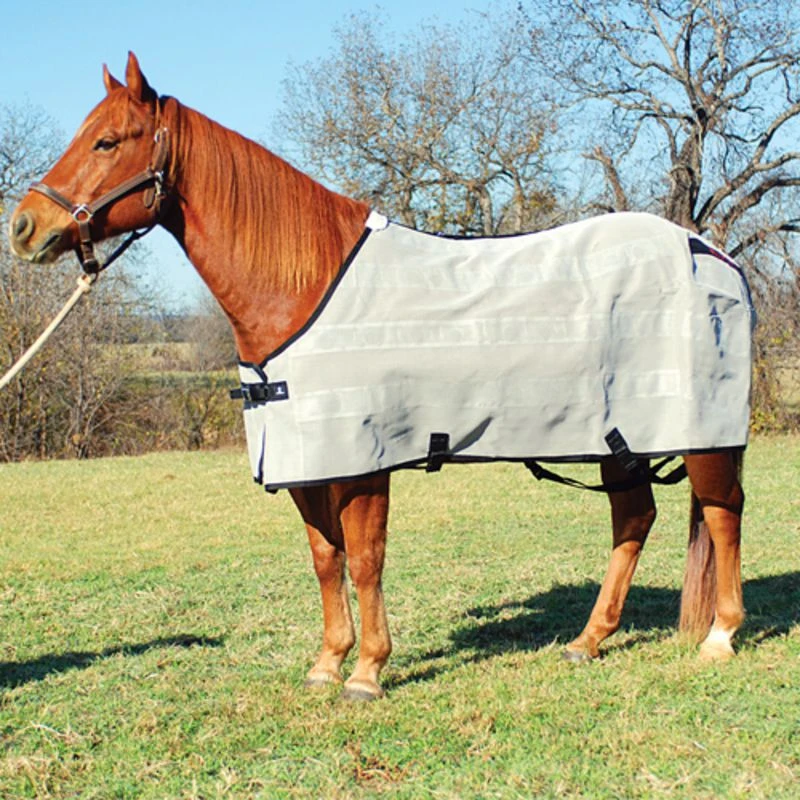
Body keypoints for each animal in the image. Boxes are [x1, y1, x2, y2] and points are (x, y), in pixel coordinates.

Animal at [8, 53, 746, 701]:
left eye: (107, 141)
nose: (23, 227)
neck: (301, 287)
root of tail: (711, 255)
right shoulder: (304, 460)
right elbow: (325, 558)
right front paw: (327, 664)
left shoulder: (364, 461)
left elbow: (365, 559)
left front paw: (366, 672)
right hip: (619, 439)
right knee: (635, 517)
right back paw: (588, 641)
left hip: (701, 435)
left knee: (722, 513)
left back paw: (720, 637)